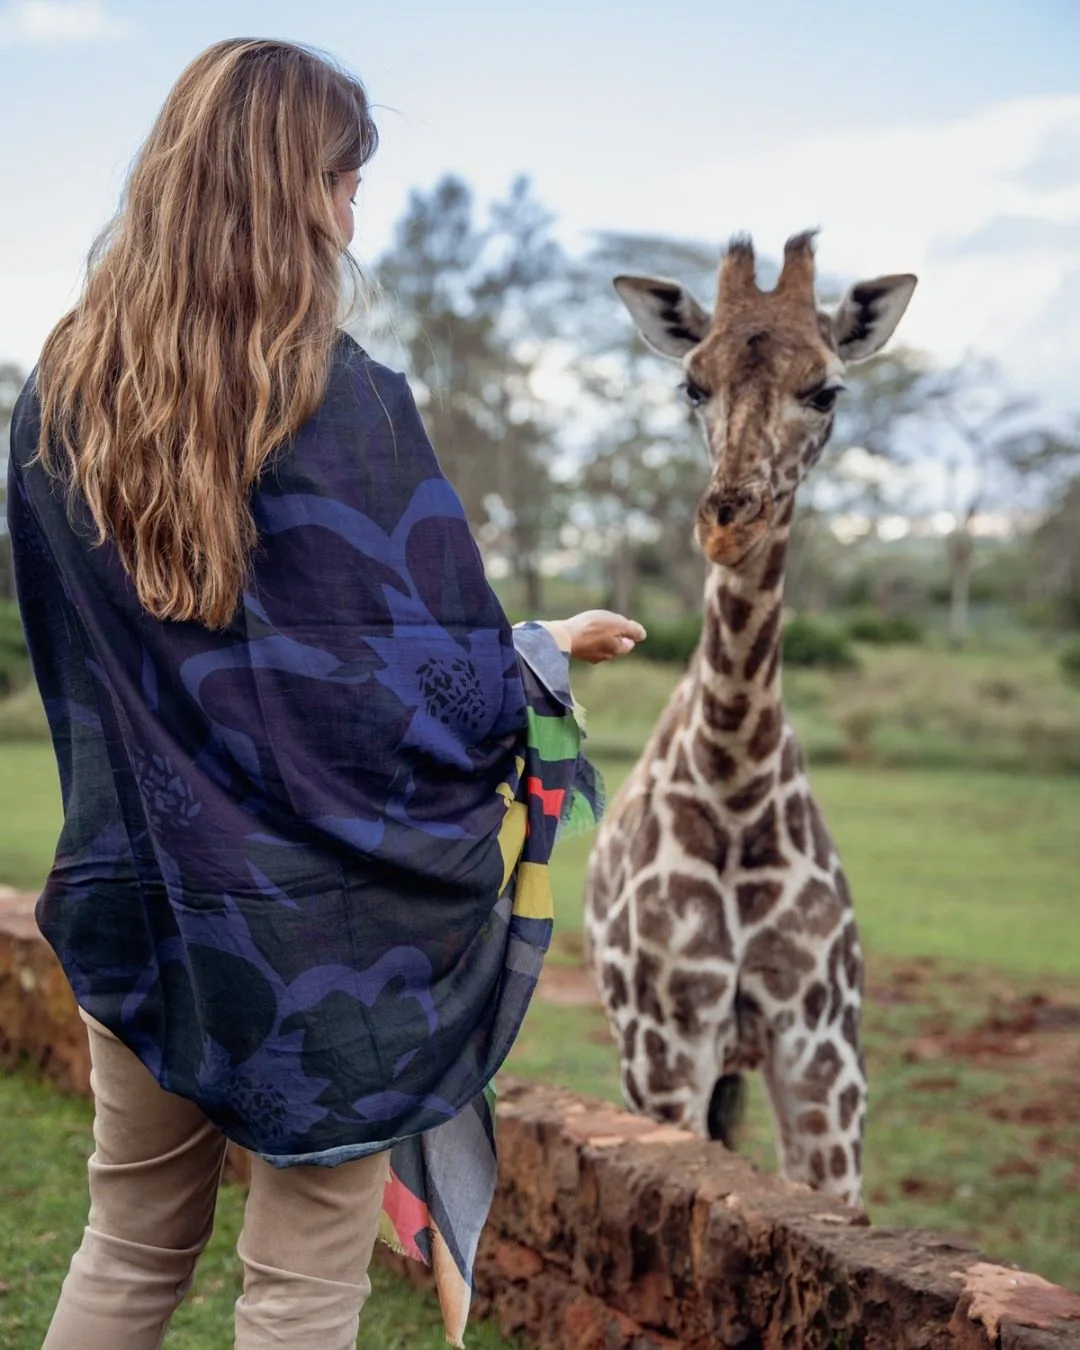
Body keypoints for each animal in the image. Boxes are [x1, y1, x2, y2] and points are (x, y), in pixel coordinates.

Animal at [583, 231, 916, 1208]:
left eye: (829, 389)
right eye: (692, 383)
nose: (731, 520)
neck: (735, 777)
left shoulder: (826, 1059)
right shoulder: (666, 1049)